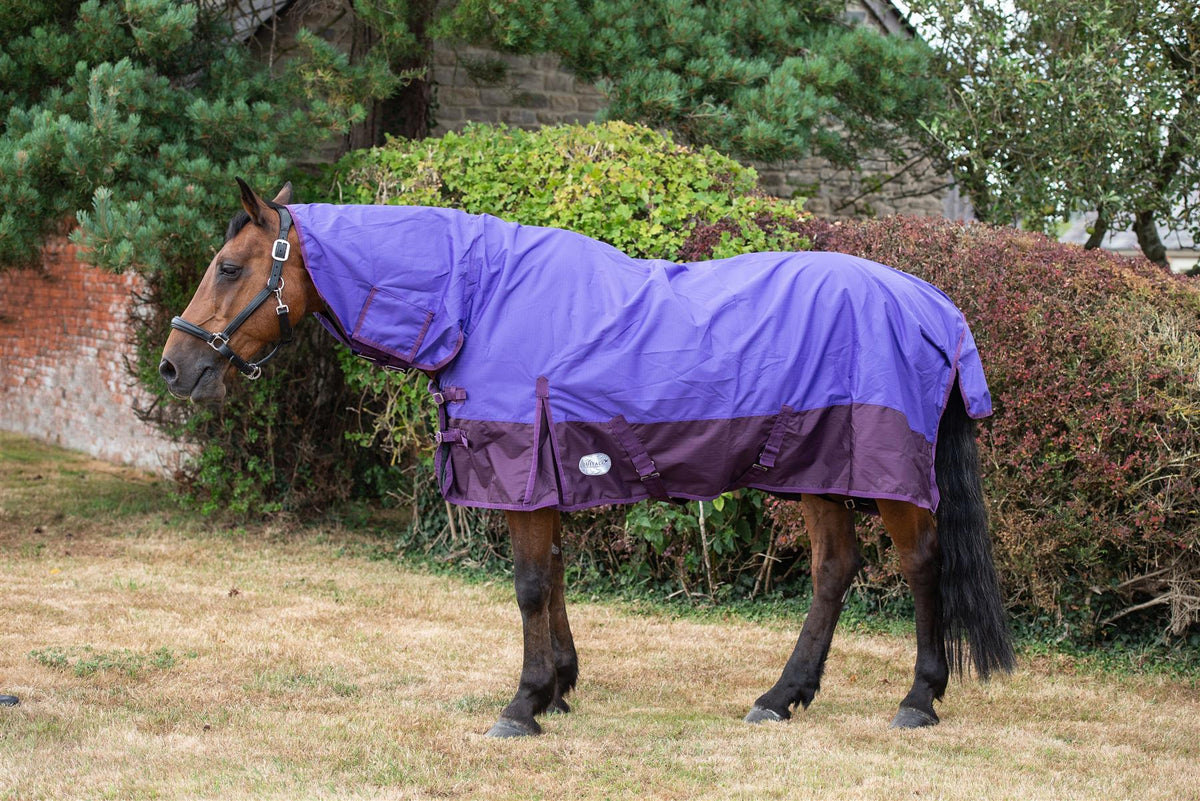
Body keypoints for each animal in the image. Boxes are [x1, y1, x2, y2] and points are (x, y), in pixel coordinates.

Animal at [160, 180, 1014, 737]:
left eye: (229, 267)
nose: (175, 365)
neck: (481, 299)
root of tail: (932, 303)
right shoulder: (549, 471)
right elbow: (557, 577)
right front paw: (559, 689)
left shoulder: (523, 471)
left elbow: (530, 585)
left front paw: (523, 704)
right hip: (819, 471)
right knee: (834, 569)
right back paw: (780, 695)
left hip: (887, 475)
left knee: (920, 563)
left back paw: (918, 698)